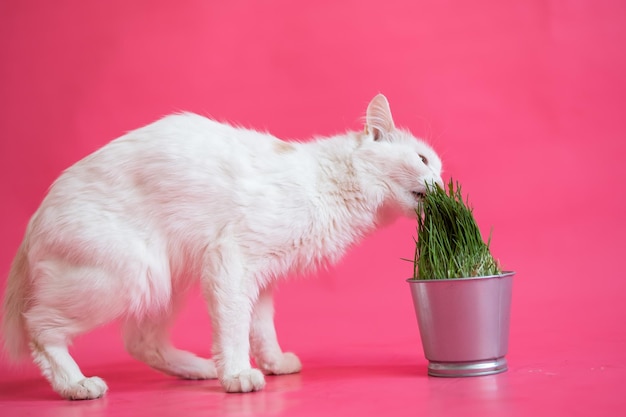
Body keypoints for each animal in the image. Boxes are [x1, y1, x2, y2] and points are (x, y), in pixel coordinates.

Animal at [1, 95, 438, 400]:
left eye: (435, 165)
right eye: (422, 160)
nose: (440, 182)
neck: (330, 182)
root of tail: (34, 221)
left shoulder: (260, 278)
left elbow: (260, 330)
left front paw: (272, 363)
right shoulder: (233, 261)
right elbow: (234, 329)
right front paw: (238, 375)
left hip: (164, 282)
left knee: (141, 342)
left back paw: (199, 369)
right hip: (130, 277)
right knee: (39, 327)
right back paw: (77, 385)